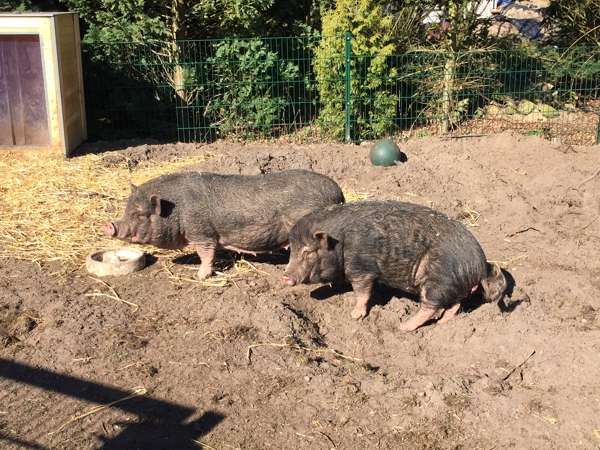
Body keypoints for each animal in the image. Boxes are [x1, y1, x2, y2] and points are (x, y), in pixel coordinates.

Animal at [104, 169, 344, 279]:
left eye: (139, 214)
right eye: (126, 209)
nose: (109, 225)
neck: (177, 209)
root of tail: (339, 193)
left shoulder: (202, 233)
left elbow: (206, 254)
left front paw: (200, 276)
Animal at [282, 201, 506, 331]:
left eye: (308, 252)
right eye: (291, 249)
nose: (285, 276)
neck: (341, 243)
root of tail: (479, 265)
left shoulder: (362, 268)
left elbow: (363, 292)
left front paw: (355, 316)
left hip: (436, 282)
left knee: (430, 307)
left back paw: (403, 326)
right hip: (450, 284)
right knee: (455, 305)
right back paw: (442, 323)